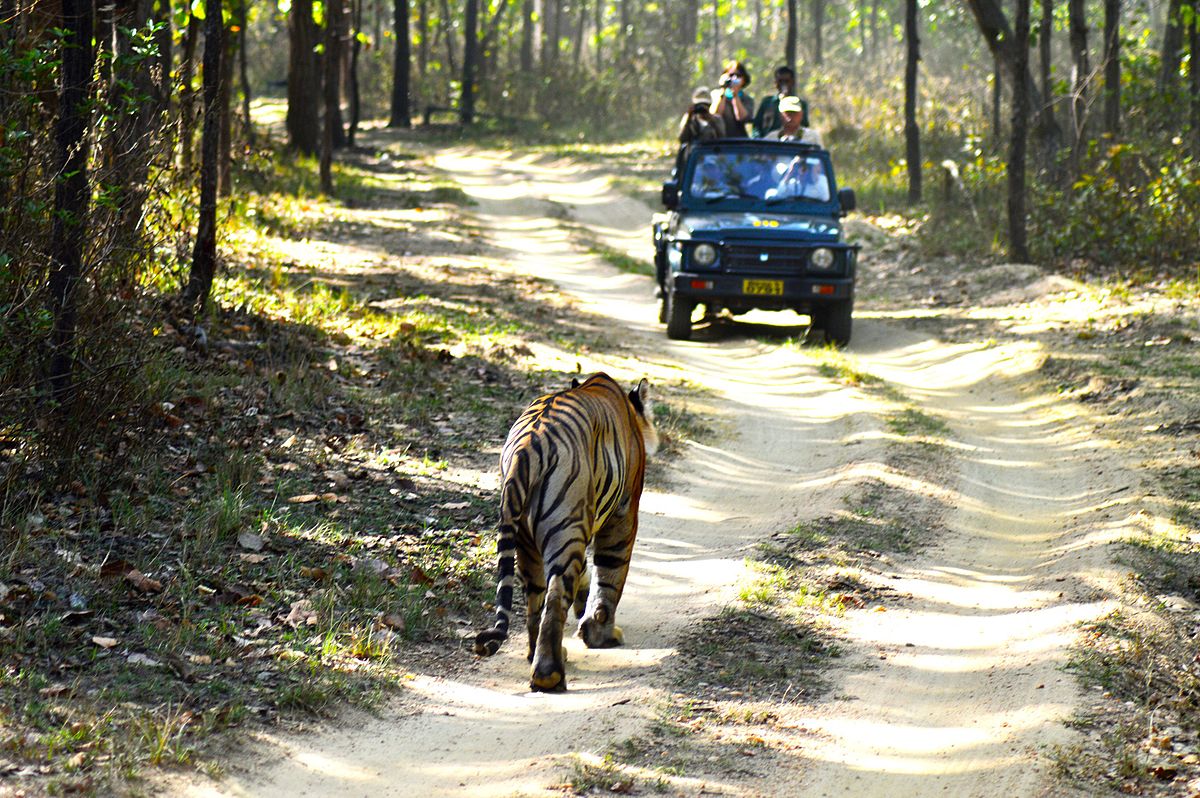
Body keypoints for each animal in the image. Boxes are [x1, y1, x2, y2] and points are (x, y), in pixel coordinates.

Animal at [470, 374, 657, 691]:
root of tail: (525, 450)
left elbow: (587, 573)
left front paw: (584, 608)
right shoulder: (623, 513)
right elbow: (610, 575)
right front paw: (600, 633)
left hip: (529, 539)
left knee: (535, 600)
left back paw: (539, 656)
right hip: (566, 528)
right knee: (555, 596)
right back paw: (550, 675)